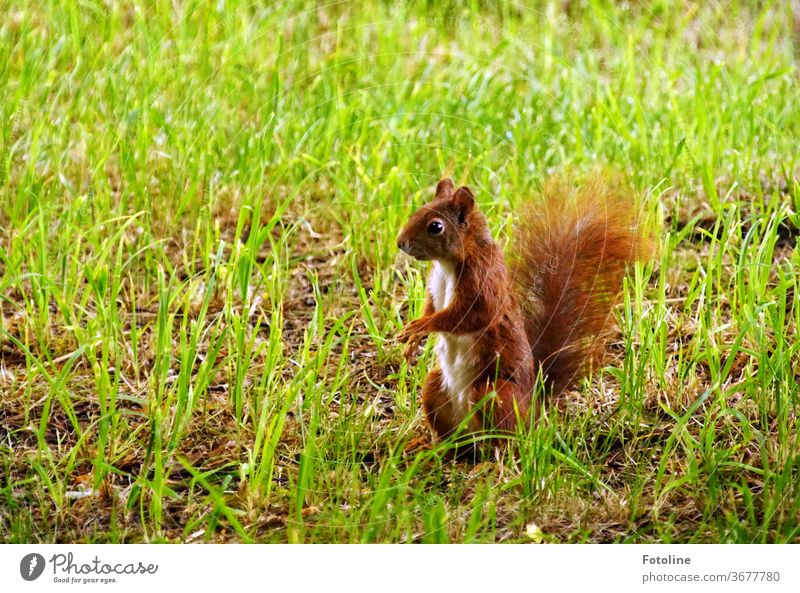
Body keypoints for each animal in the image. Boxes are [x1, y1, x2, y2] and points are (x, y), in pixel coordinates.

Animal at [396, 173, 652, 438]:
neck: (448, 265)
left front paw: (420, 327)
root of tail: (533, 406)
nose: (400, 243)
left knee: (503, 434)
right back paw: (434, 443)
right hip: (434, 386)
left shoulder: (483, 281)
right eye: (418, 211)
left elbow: (471, 316)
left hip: (493, 393)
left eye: (435, 227)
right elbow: (432, 307)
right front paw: (412, 341)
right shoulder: (435, 287)